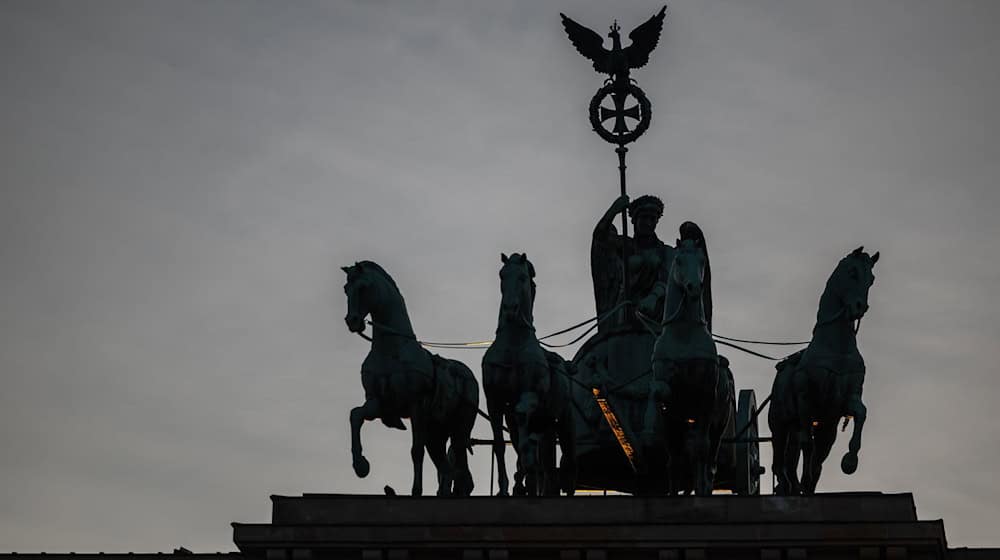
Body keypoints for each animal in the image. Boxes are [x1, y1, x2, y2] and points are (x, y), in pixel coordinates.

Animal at [342, 260, 478, 496]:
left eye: (363, 288)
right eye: (346, 289)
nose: (353, 321)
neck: (391, 350)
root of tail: (469, 376)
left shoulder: (417, 407)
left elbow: (416, 451)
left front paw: (416, 491)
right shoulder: (377, 403)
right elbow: (356, 415)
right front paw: (361, 465)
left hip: (459, 431)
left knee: (461, 474)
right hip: (436, 434)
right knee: (449, 470)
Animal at [484, 253, 580, 494]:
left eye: (522, 277)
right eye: (502, 275)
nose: (510, 308)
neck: (513, 347)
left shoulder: (530, 395)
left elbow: (522, 419)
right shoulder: (494, 403)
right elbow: (500, 445)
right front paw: (503, 488)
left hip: (565, 423)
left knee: (569, 464)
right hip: (547, 428)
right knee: (546, 469)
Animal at [768, 246, 880, 494]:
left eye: (871, 279)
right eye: (852, 272)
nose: (860, 307)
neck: (836, 348)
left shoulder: (844, 404)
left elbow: (861, 413)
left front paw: (850, 461)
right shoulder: (806, 401)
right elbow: (807, 446)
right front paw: (804, 479)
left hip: (824, 429)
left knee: (810, 457)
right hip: (779, 425)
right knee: (781, 461)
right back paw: (787, 484)